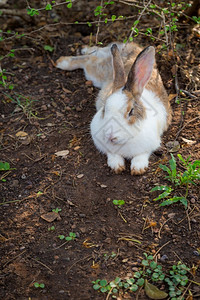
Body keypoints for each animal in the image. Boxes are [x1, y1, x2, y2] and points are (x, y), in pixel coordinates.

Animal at [55, 41, 172, 175]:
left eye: (131, 112)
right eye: (104, 109)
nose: (110, 136)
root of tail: (131, 47)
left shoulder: (150, 144)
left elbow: (141, 155)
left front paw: (138, 169)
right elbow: (112, 154)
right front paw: (117, 166)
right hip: (96, 74)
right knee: (90, 59)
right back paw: (63, 61)